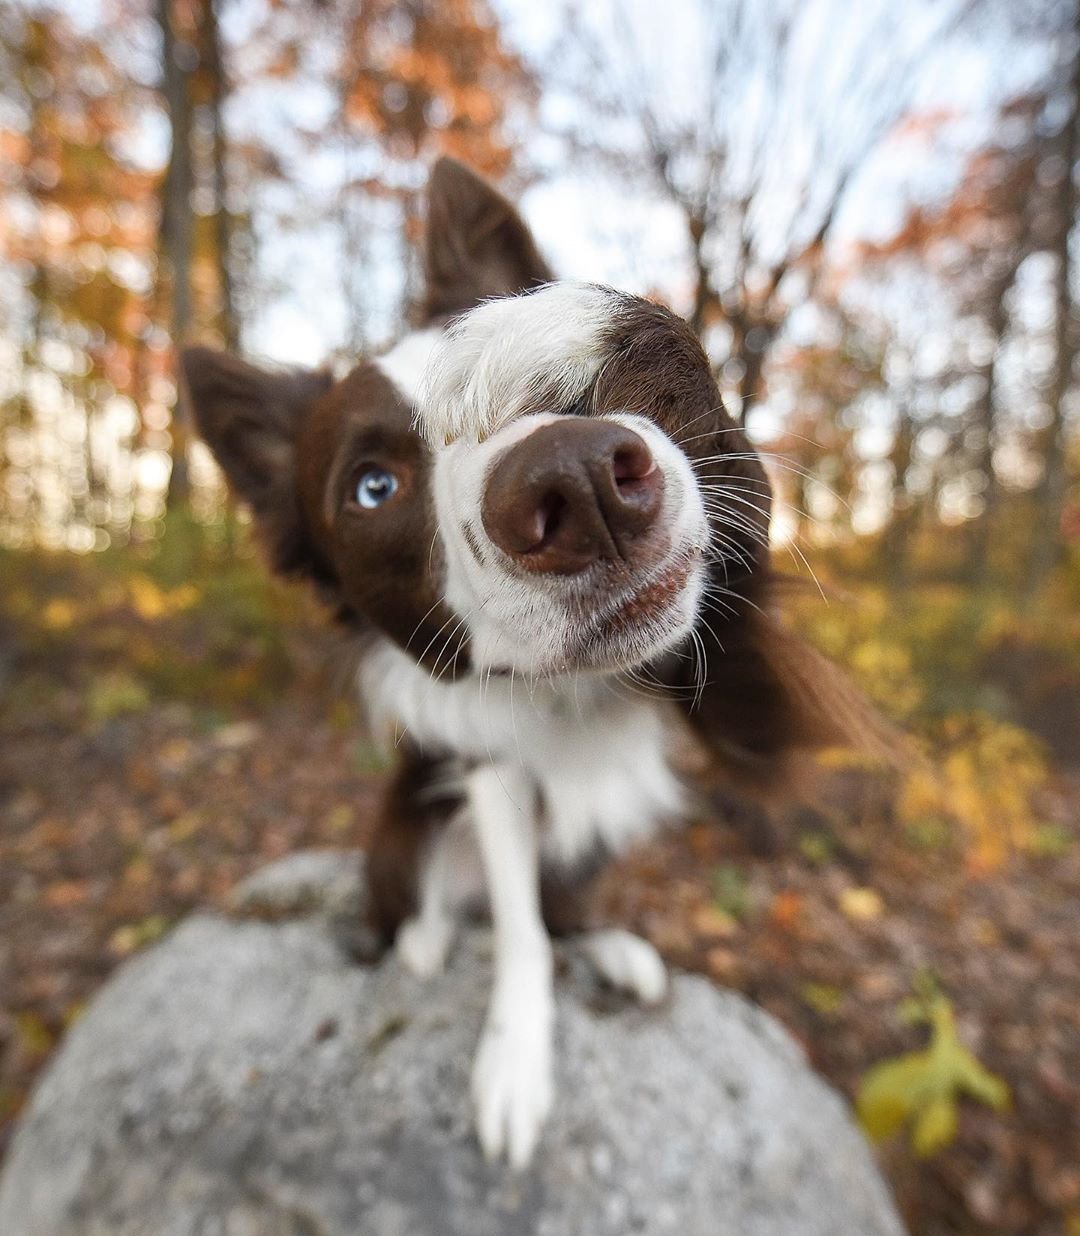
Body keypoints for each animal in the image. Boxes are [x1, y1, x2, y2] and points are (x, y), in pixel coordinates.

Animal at [179, 156, 884, 1166]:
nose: (579, 482)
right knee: (436, 906)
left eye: (566, 404)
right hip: (398, 828)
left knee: (567, 902)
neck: (572, 696)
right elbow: (520, 935)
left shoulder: (733, 668)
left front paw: (557, 322)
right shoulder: (491, 773)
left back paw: (611, 947)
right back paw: (426, 940)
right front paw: (515, 1064)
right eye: (371, 487)